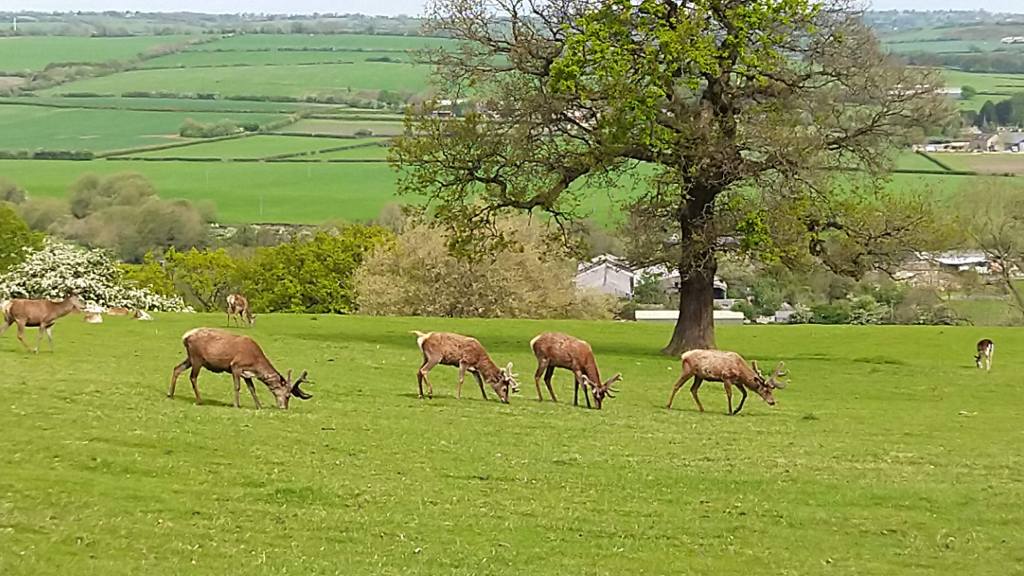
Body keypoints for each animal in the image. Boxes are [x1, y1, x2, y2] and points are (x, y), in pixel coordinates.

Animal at [169, 327, 312, 409]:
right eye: (288, 395)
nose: (284, 407)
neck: (255, 361)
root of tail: (185, 336)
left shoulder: (247, 373)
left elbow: (252, 389)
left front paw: (259, 406)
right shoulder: (236, 366)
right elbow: (237, 386)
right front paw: (236, 405)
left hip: (191, 358)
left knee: (176, 368)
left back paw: (170, 394)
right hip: (197, 358)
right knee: (192, 377)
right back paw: (200, 400)